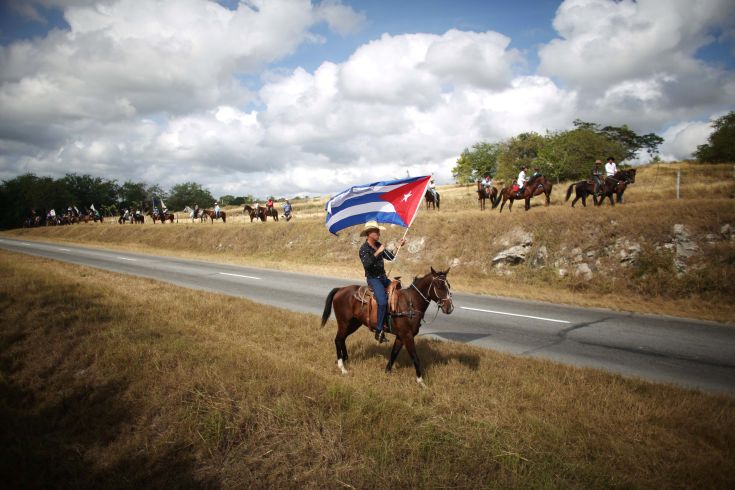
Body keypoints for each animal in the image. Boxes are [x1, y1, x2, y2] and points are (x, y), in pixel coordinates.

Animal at [322, 266, 454, 384]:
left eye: (448, 285)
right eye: (439, 286)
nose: (449, 308)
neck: (410, 303)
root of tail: (340, 289)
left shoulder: (400, 337)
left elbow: (394, 354)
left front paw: (387, 372)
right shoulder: (407, 336)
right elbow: (415, 358)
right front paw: (421, 381)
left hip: (354, 324)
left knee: (342, 339)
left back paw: (345, 359)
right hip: (344, 323)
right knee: (338, 340)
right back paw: (342, 367)